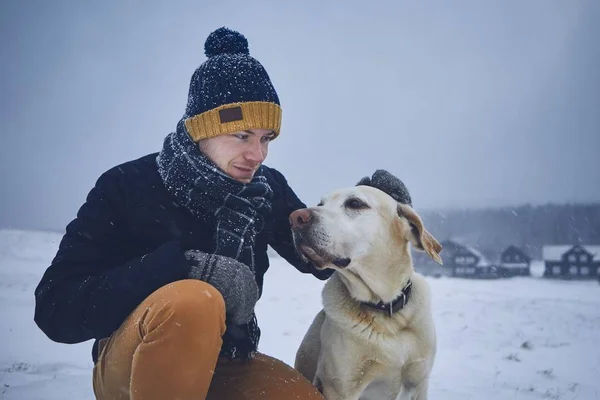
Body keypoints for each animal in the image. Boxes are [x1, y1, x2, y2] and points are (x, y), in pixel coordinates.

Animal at [290, 184, 440, 400]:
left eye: (355, 203)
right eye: (321, 203)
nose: (295, 217)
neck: (386, 311)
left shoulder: (419, 382)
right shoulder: (341, 387)